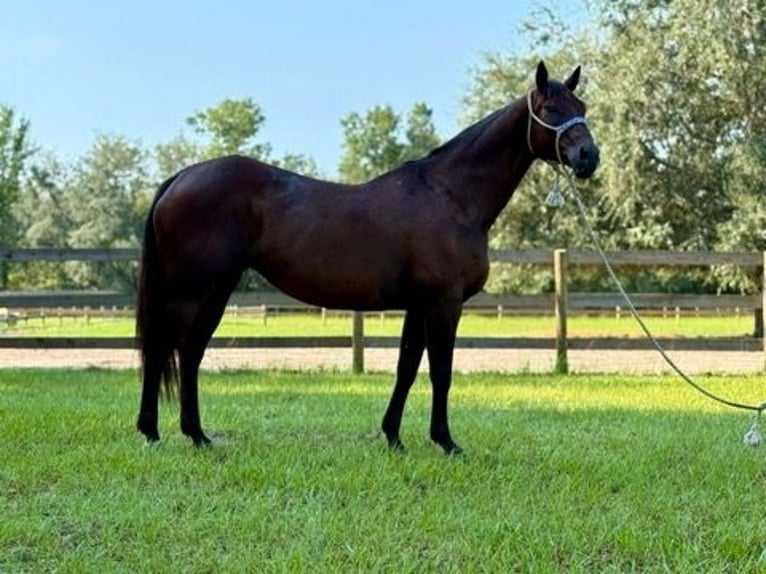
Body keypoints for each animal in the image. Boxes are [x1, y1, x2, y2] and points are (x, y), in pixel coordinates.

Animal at [135, 61, 599, 454]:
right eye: (551, 108)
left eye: (583, 107)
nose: (588, 157)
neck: (450, 195)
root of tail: (182, 177)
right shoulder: (444, 304)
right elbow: (441, 371)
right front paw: (446, 441)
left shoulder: (419, 306)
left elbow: (407, 367)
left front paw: (394, 436)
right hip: (193, 290)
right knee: (165, 348)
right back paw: (156, 432)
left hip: (215, 291)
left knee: (189, 351)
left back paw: (194, 435)